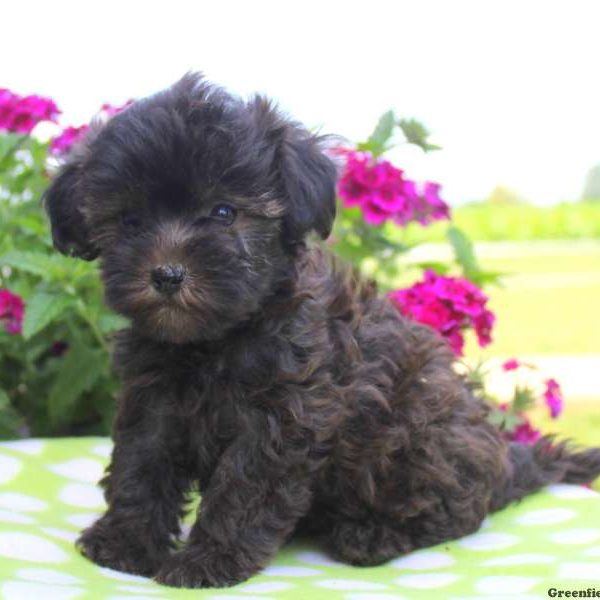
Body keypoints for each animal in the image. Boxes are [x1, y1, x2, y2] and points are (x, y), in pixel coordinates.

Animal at [43, 74, 600, 584]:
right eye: (130, 221)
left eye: (224, 212)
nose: (167, 274)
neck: (215, 340)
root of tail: (506, 461)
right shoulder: (153, 399)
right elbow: (141, 466)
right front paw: (124, 542)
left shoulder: (285, 417)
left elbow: (243, 489)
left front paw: (208, 560)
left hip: (419, 438)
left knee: (456, 509)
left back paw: (374, 535)